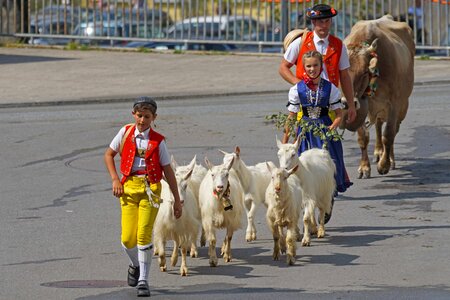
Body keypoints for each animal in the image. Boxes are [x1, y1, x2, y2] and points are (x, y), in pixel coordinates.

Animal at [342, 15, 414, 178]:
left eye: (364, 72)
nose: (347, 103)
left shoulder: (393, 104)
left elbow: (389, 135)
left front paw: (384, 165)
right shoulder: (362, 107)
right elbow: (363, 137)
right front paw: (364, 167)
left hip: (403, 106)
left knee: (393, 130)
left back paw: (389, 159)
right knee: (379, 125)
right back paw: (378, 151)